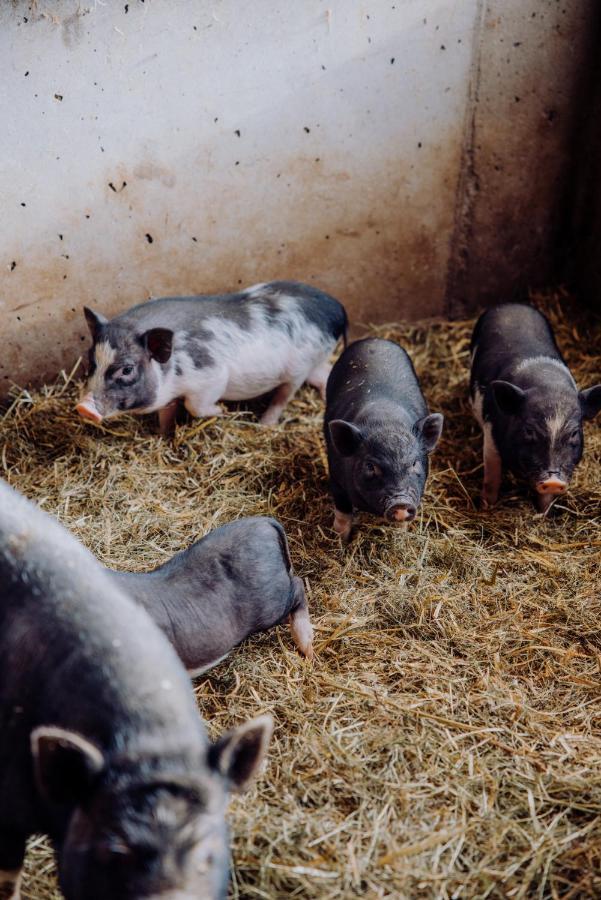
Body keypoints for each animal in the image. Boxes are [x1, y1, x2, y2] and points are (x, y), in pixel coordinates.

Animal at [76, 282, 346, 436]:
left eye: (127, 369)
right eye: (91, 361)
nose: (83, 407)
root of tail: (337, 310)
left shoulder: (211, 376)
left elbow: (194, 406)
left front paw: (222, 411)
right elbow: (167, 413)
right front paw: (163, 436)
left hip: (299, 367)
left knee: (284, 396)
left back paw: (265, 424)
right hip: (316, 359)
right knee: (325, 372)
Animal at [322, 340, 442, 540]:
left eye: (414, 463)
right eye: (371, 466)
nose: (400, 503)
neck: (386, 420)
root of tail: (375, 339)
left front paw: (399, 537)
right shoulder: (335, 479)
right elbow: (343, 512)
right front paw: (339, 539)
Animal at [468, 306, 600, 510]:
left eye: (574, 433)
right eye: (529, 430)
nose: (553, 481)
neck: (547, 383)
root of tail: (512, 304)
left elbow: (545, 498)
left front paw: (543, 512)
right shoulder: (490, 434)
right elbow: (492, 476)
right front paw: (485, 507)